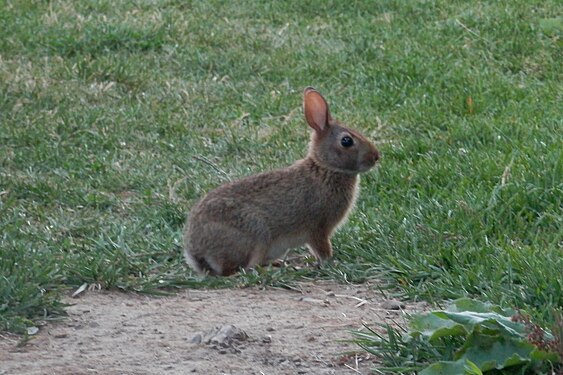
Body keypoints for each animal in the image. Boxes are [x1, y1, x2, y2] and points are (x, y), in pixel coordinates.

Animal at [184, 87, 378, 276]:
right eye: (346, 141)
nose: (376, 157)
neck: (326, 168)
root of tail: (197, 253)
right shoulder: (318, 227)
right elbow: (322, 249)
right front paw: (332, 263)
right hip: (257, 233)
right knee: (241, 268)